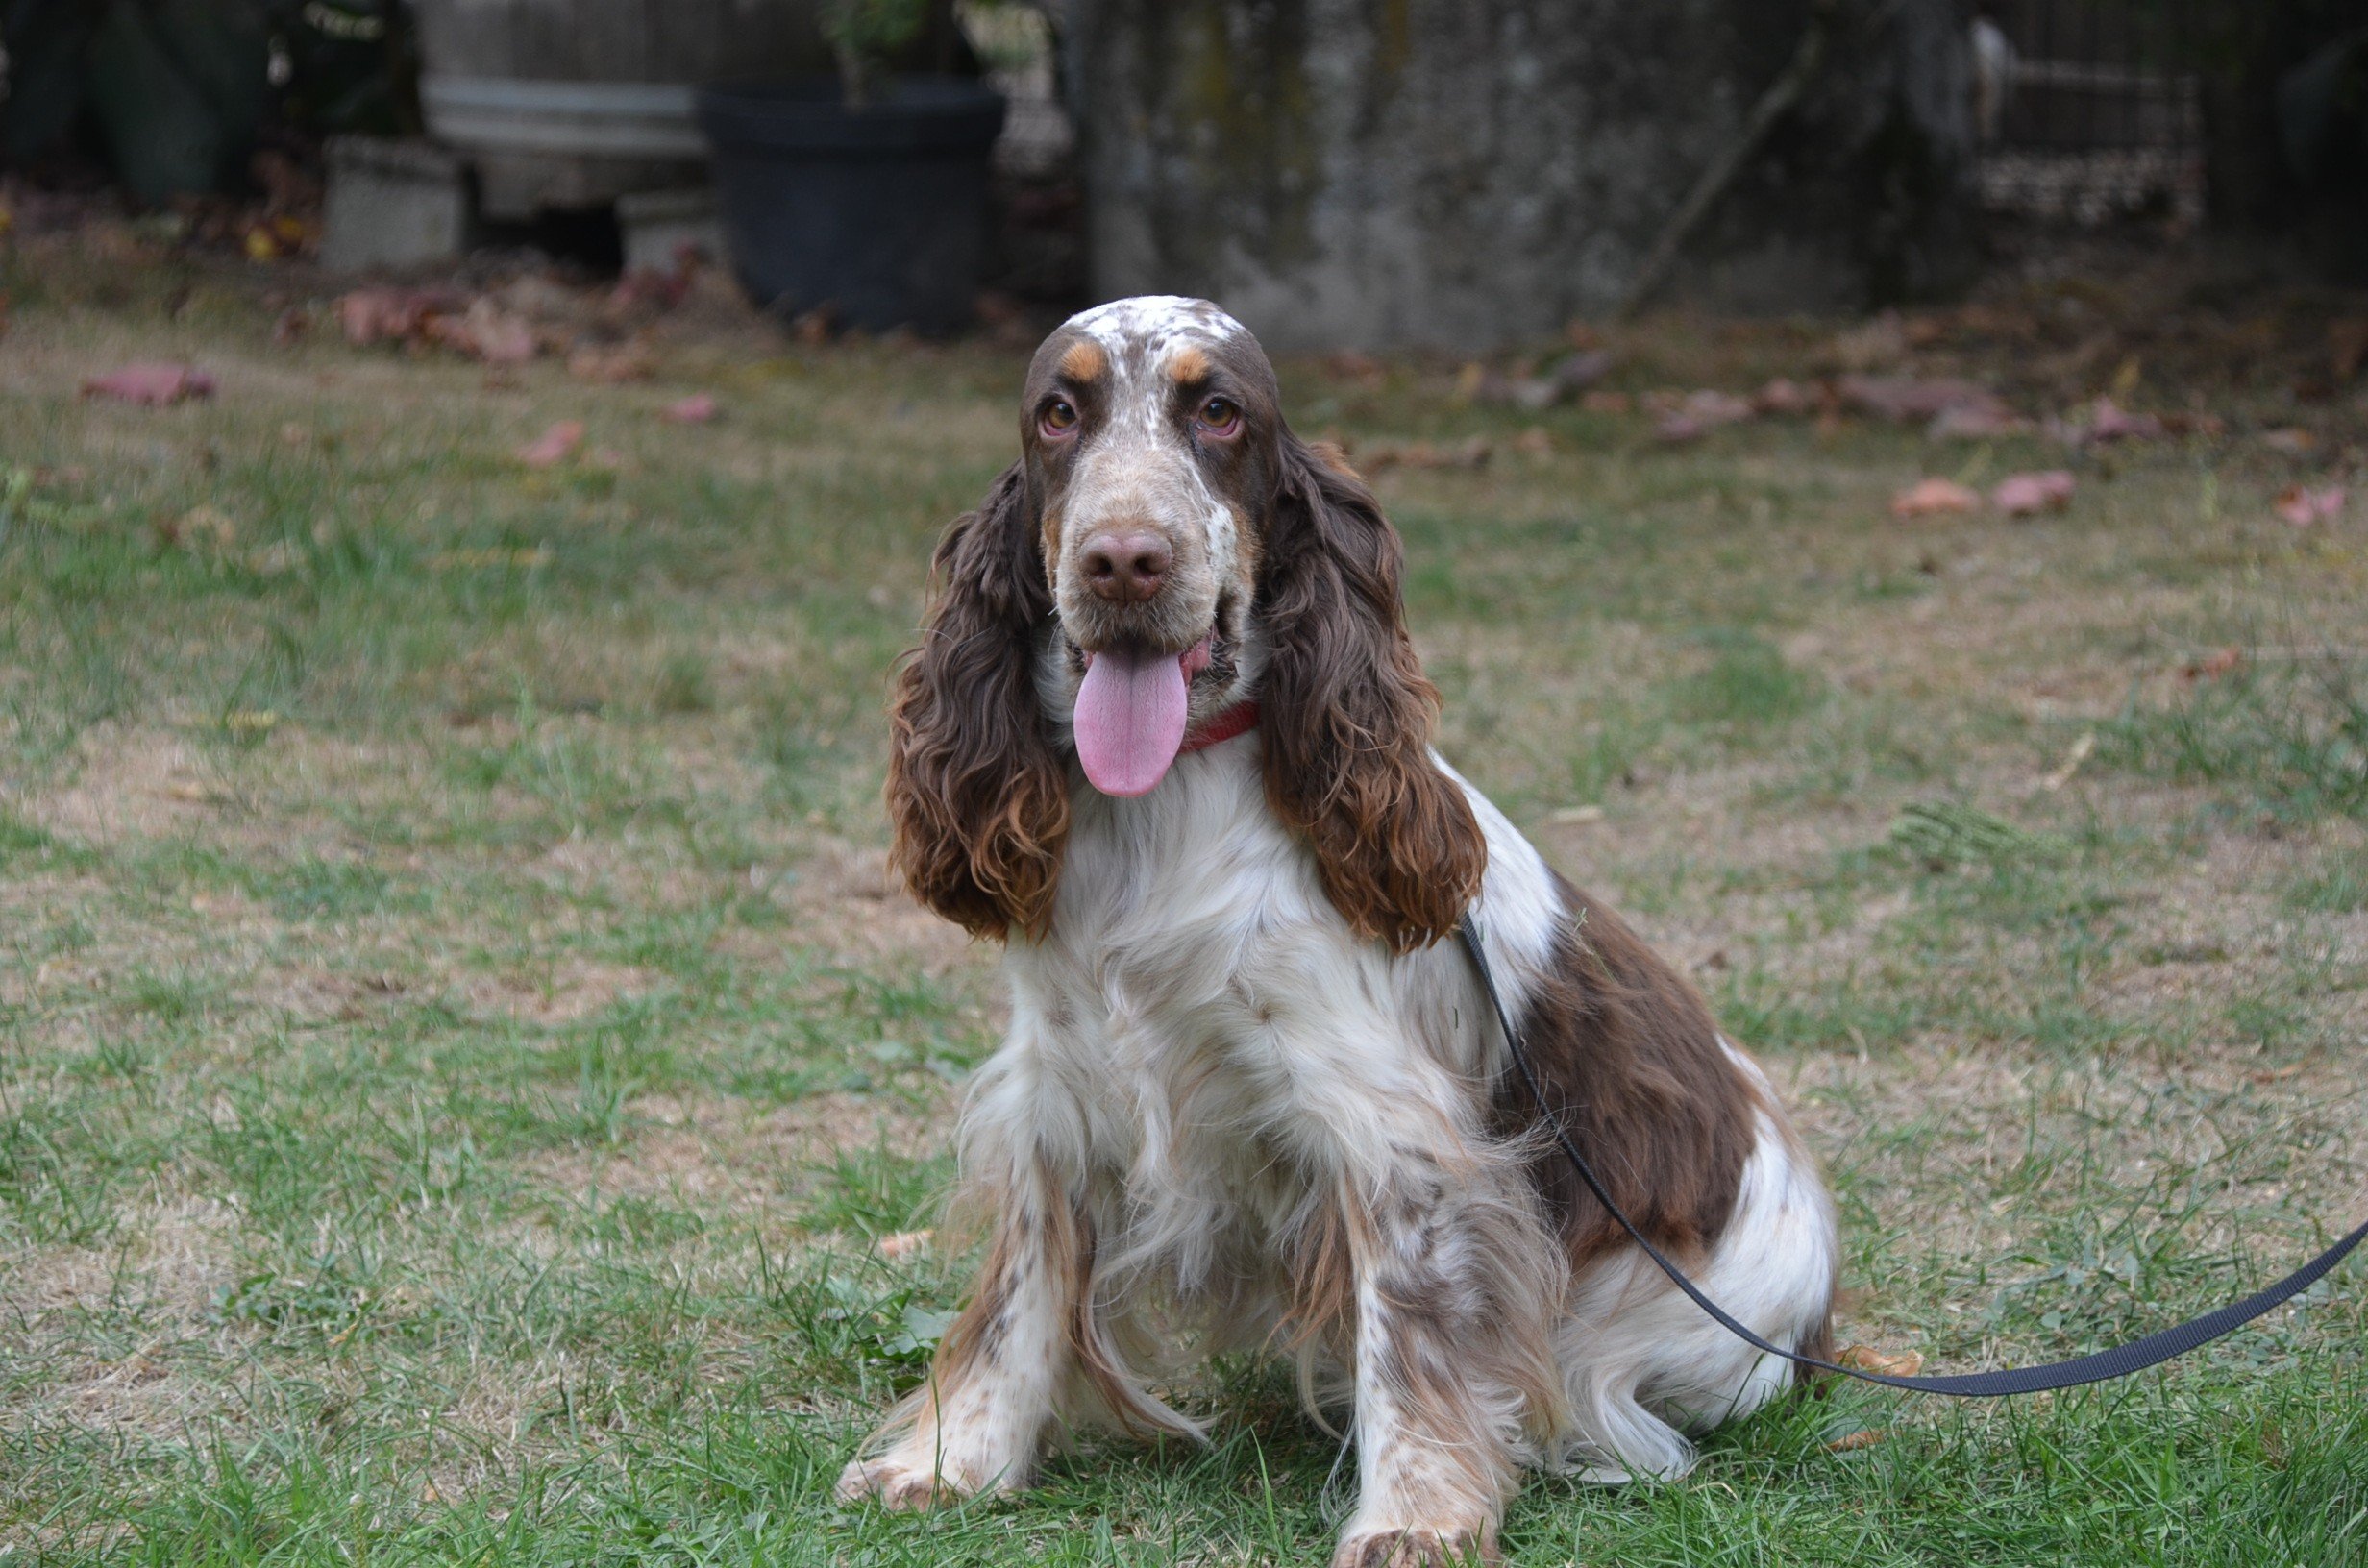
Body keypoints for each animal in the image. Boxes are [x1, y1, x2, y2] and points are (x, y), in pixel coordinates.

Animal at [843, 298, 1838, 1568]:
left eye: (1220, 412)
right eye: (1058, 413)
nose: (1124, 559)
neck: (1170, 799)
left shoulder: (1390, 1134)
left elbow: (1410, 1338)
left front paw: (1416, 1516)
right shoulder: (1057, 1086)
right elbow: (1024, 1291)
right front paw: (951, 1461)